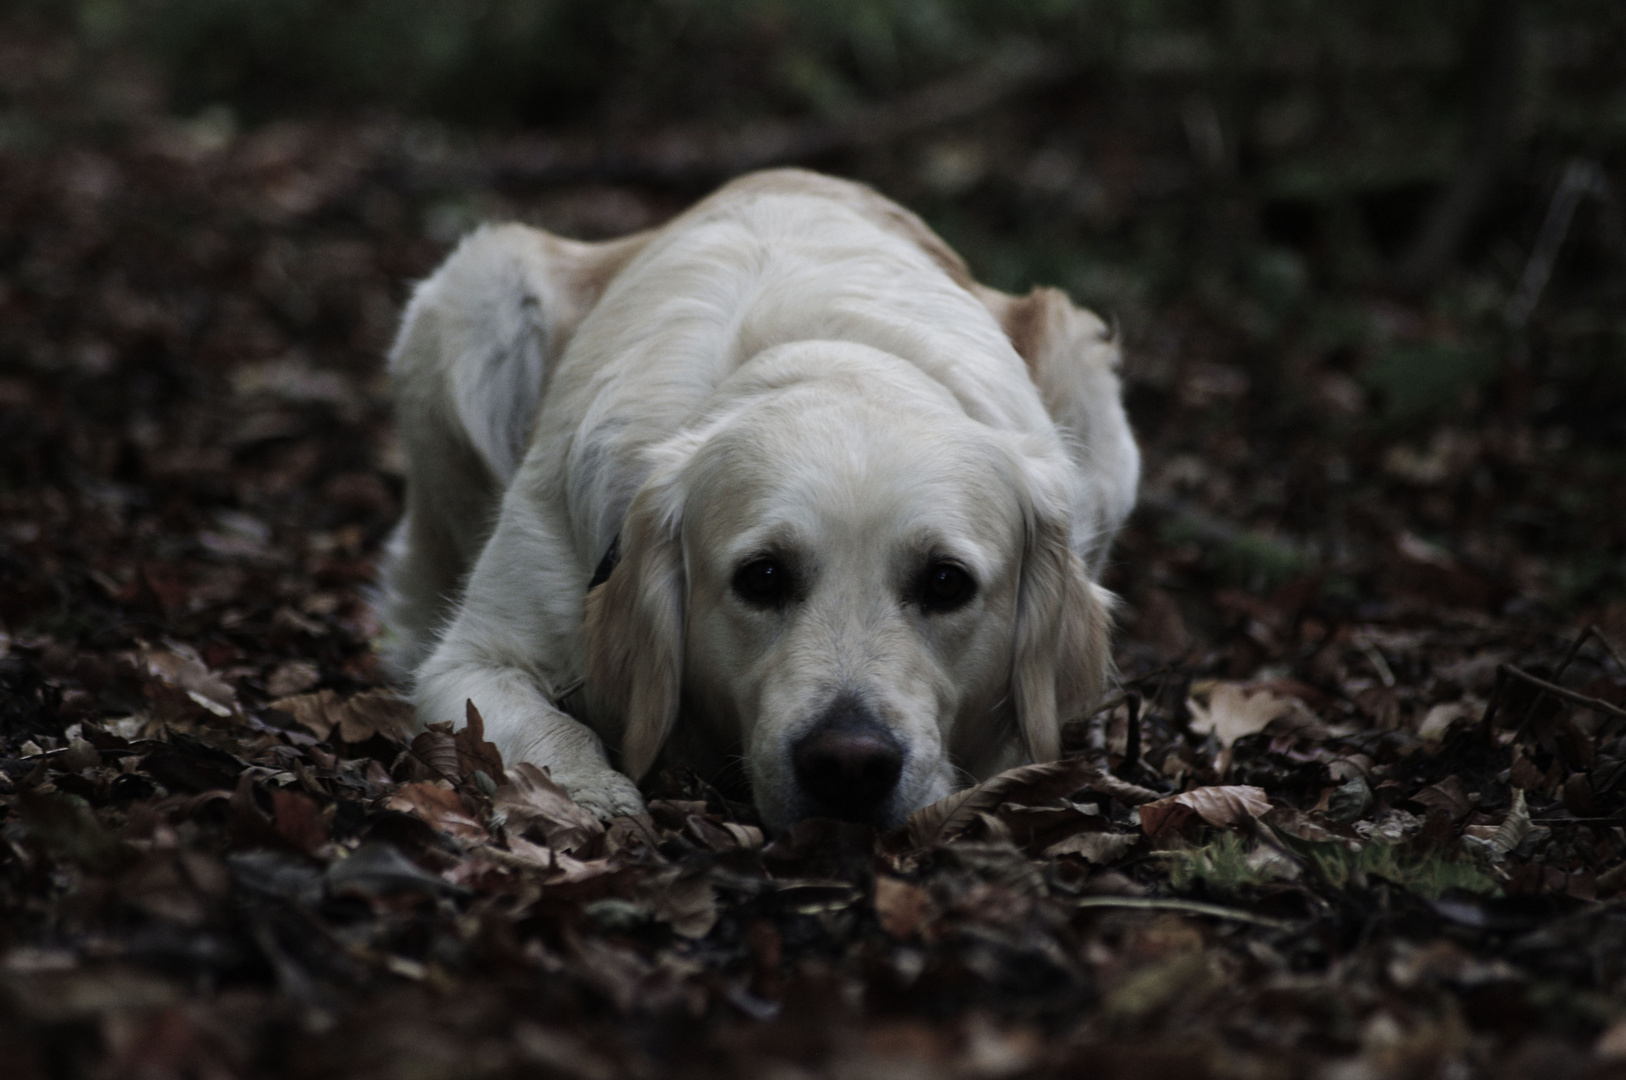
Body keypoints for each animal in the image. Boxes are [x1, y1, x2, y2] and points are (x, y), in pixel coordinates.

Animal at [377, 169, 1144, 829]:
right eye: (763, 577)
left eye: (947, 584)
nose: (849, 764)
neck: (822, 352)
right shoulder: (472, 661)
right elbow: (549, 727)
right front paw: (590, 795)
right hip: (472, 294)